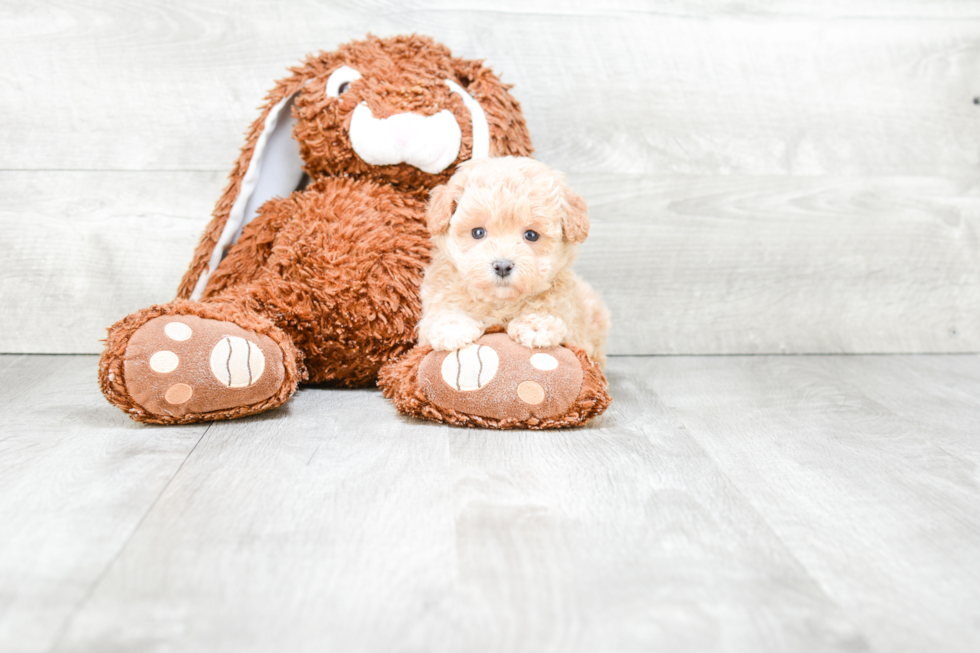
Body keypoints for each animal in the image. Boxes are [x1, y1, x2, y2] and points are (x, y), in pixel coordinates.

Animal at [418, 154, 608, 366]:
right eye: (478, 232)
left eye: (531, 235)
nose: (502, 266)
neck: (501, 302)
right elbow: (442, 310)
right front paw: (454, 328)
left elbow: (552, 307)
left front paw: (536, 325)